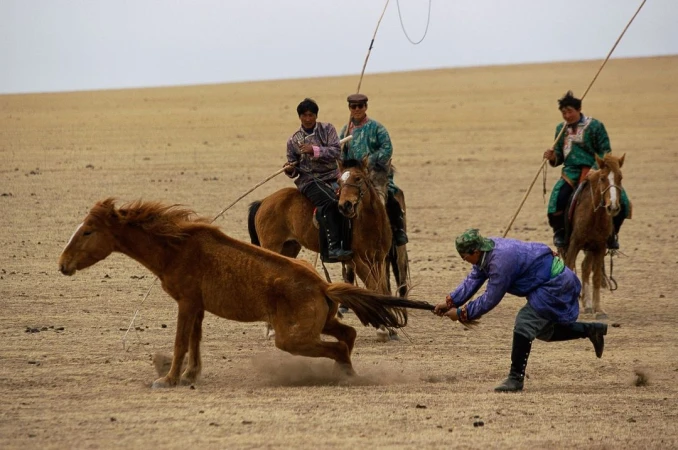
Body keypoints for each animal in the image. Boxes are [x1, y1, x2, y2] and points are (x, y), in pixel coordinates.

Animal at [58, 199, 434, 387]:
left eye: (88, 231)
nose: (63, 264)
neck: (175, 247)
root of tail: (322, 284)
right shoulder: (198, 307)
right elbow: (194, 341)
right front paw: (191, 375)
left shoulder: (186, 303)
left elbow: (180, 342)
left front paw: (168, 378)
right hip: (318, 324)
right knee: (349, 335)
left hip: (291, 338)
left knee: (340, 345)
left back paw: (346, 376)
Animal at [561, 153, 626, 319]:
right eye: (602, 178)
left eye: (620, 177)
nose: (613, 207)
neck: (594, 215)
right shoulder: (575, 243)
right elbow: (569, 268)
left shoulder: (600, 246)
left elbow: (596, 276)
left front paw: (599, 309)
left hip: (591, 247)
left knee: (585, 268)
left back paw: (588, 304)